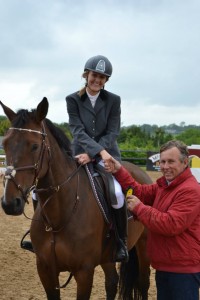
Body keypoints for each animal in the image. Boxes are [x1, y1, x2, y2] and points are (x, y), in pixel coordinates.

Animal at [0, 97, 152, 298]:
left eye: (34, 146)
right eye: (5, 144)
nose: (10, 203)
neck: (59, 217)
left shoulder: (84, 272)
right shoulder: (45, 270)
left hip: (143, 245)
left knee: (143, 283)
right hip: (108, 256)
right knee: (112, 281)